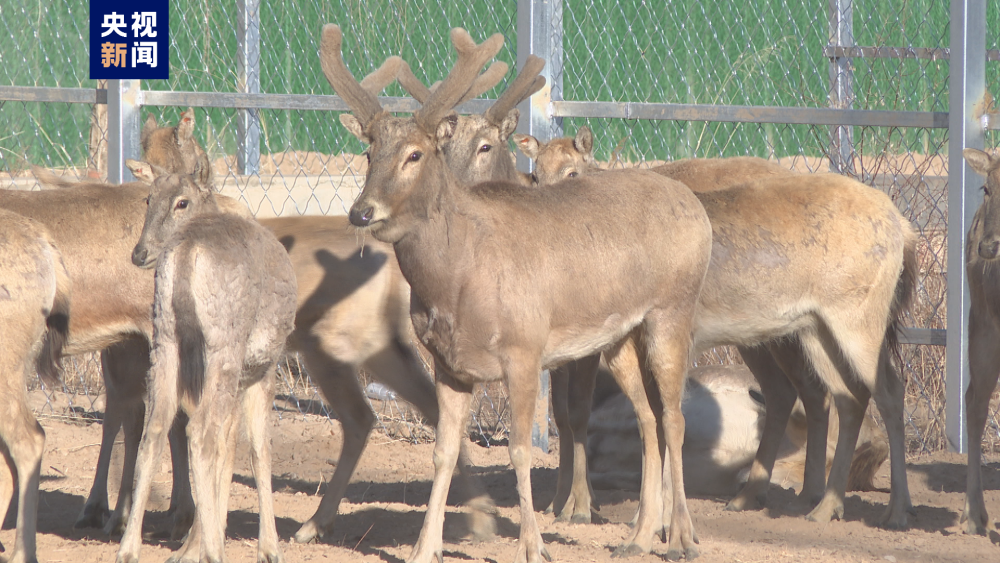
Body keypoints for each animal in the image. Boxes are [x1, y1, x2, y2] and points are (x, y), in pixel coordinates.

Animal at [114, 173, 296, 563]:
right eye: (148, 200)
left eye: (179, 202)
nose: (139, 252)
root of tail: (185, 252)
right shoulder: (263, 367)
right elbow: (258, 450)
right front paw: (268, 548)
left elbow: (227, 453)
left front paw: (191, 546)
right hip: (225, 343)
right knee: (199, 432)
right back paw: (214, 551)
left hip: (165, 340)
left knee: (156, 429)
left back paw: (129, 547)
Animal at [320, 24, 712, 560]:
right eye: (367, 153)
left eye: (415, 154)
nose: (362, 212)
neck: (458, 282)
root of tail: (697, 209)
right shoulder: (447, 362)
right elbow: (444, 451)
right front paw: (425, 546)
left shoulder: (525, 349)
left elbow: (521, 450)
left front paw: (534, 545)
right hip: (618, 337)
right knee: (648, 417)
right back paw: (638, 535)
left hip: (673, 308)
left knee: (674, 417)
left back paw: (682, 538)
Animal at [520, 125, 916, 532]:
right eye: (534, 175)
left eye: (573, 173)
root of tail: (902, 227)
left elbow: (651, 416)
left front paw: (626, 514)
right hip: (815, 328)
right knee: (843, 395)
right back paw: (820, 505)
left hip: (857, 316)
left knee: (889, 390)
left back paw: (896, 510)